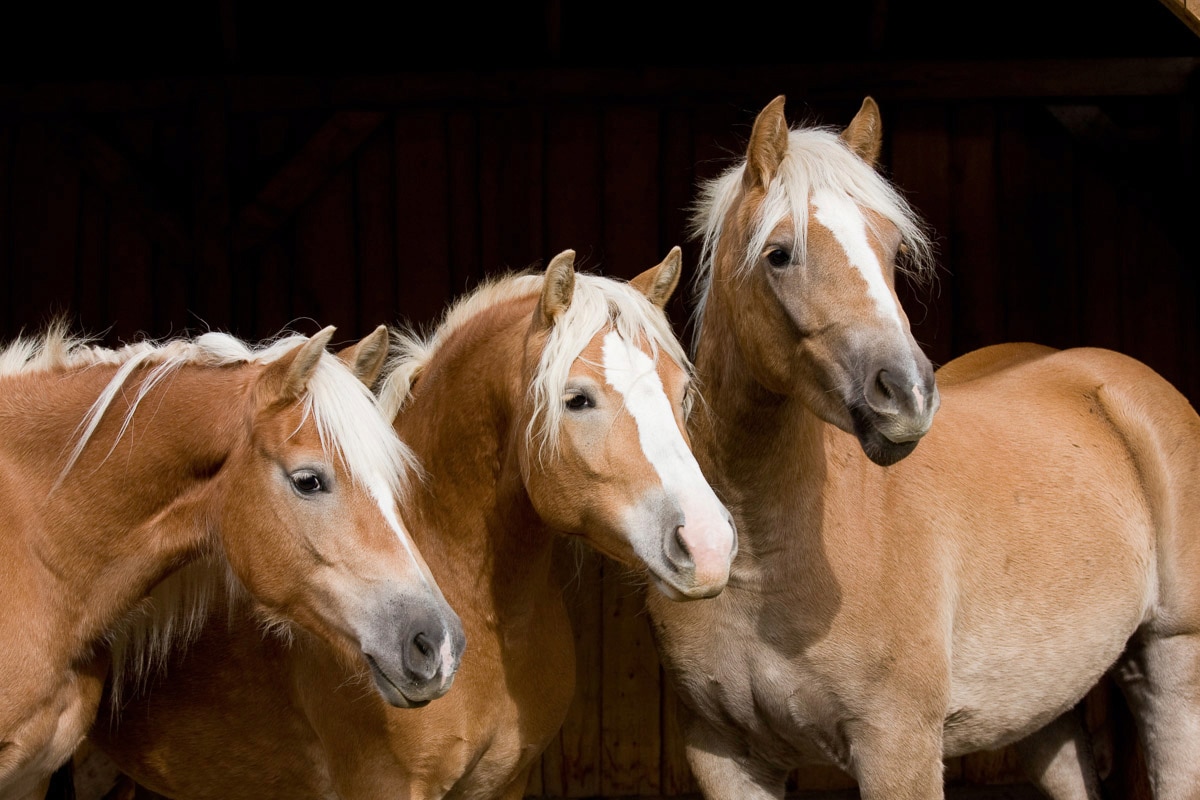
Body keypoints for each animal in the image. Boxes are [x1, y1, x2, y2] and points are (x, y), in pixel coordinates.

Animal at [648, 95, 1200, 800]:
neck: (762, 557)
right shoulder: (724, 755)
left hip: (1172, 656)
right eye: (779, 254)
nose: (905, 394)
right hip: (1041, 705)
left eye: (888, 246)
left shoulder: (897, 744)